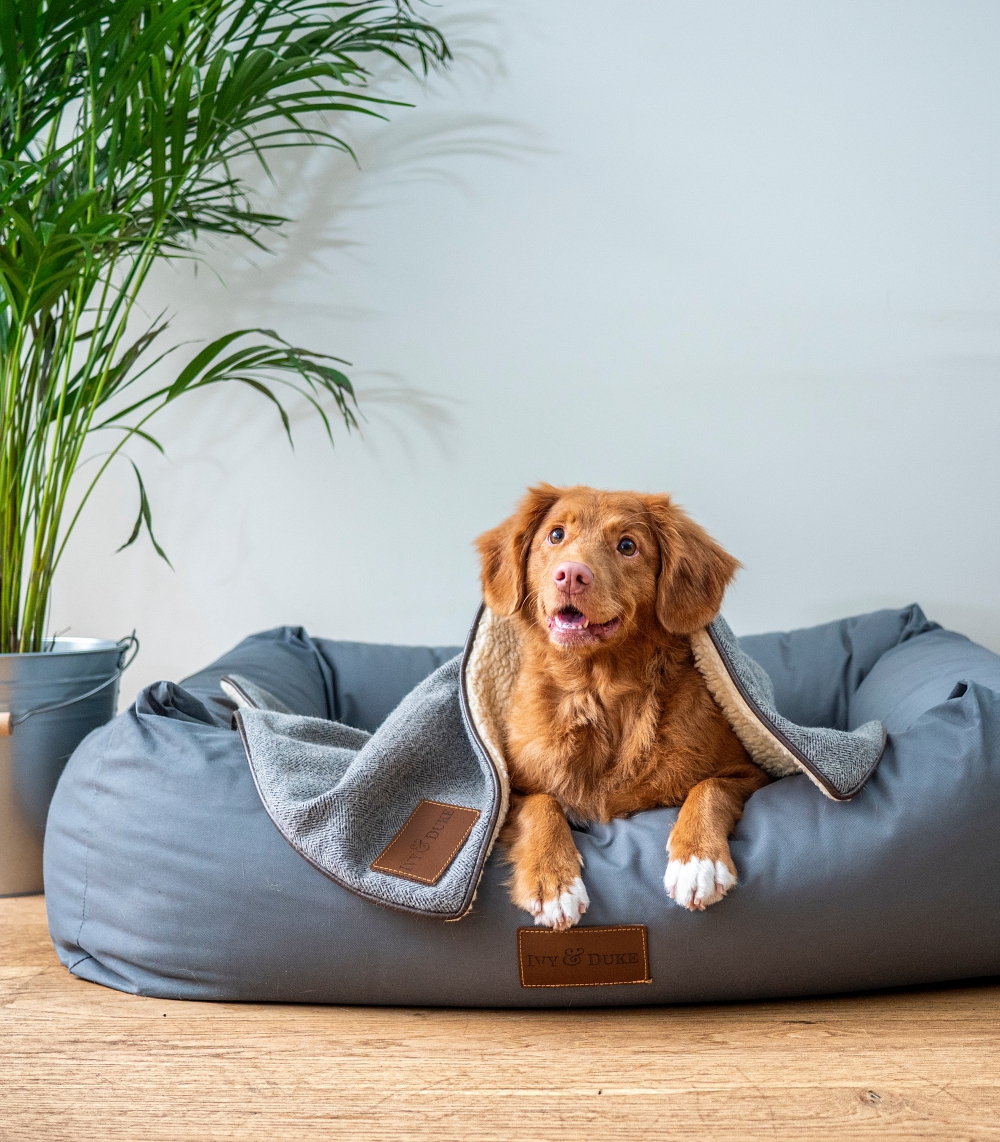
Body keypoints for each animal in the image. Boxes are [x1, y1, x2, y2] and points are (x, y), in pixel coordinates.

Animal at [472, 481, 771, 927]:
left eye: (627, 545)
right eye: (556, 535)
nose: (571, 575)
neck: (599, 692)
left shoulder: (751, 773)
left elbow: (709, 787)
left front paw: (698, 861)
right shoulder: (510, 791)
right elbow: (541, 804)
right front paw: (554, 880)